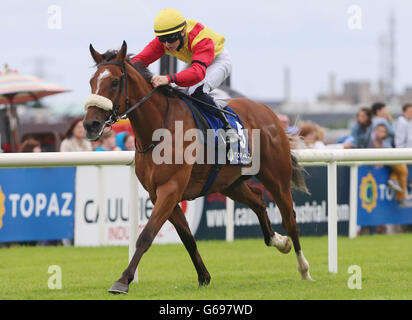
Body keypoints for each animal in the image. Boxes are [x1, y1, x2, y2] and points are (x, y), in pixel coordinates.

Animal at [83, 41, 312, 294]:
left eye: (115, 81)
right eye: (92, 81)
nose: (90, 124)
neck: (158, 131)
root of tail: (268, 111)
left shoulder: (170, 189)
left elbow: (146, 235)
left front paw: (123, 280)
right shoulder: (159, 194)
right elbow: (188, 238)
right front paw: (204, 276)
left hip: (277, 178)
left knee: (290, 219)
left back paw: (304, 269)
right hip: (230, 183)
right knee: (258, 200)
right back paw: (278, 240)